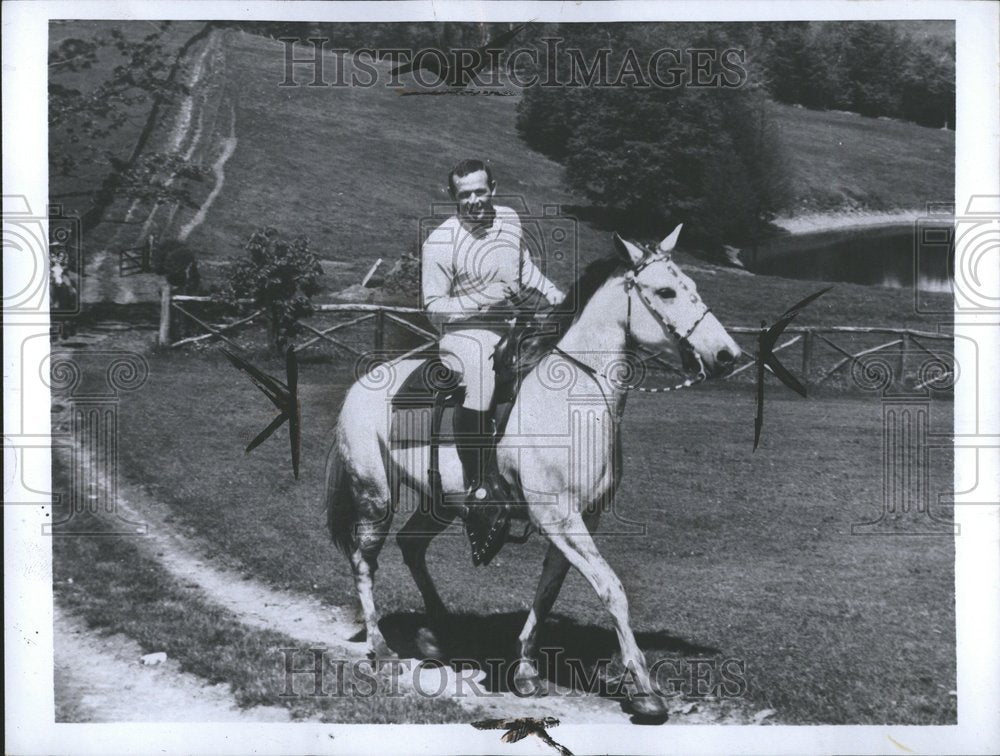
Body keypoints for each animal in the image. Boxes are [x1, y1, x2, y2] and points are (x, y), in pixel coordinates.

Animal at [324, 227, 740, 716]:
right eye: (666, 291)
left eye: (692, 286)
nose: (728, 355)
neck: (575, 399)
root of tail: (359, 387)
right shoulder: (559, 516)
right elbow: (612, 589)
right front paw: (643, 689)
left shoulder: (581, 518)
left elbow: (548, 591)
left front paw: (525, 669)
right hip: (375, 496)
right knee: (364, 561)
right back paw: (383, 648)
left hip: (440, 501)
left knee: (411, 546)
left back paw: (440, 634)